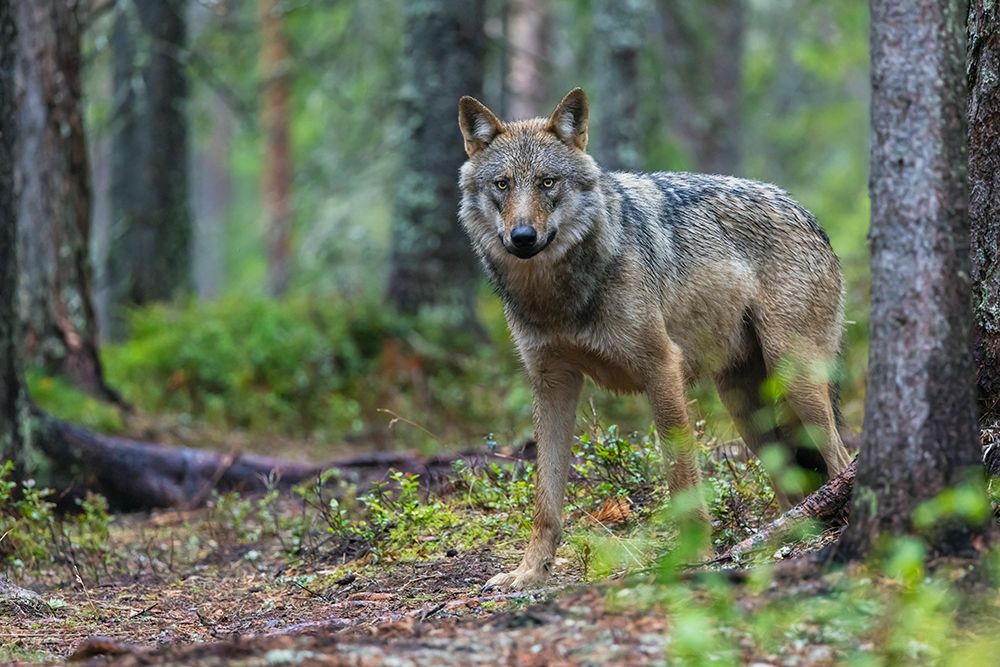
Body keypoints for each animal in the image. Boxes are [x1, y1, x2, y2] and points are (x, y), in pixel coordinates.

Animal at [457, 88, 853, 591]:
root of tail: (808, 214)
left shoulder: (662, 368)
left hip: (795, 381)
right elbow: (546, 500)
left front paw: (696, 558)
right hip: (748, 408)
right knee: (792, 487)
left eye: (547, 182)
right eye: (503, 184)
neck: (559, 296)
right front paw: (529, 573)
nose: (523, 236)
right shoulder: (552, 383)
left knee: (841, 459)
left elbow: (681, 479)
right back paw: (778, 545)